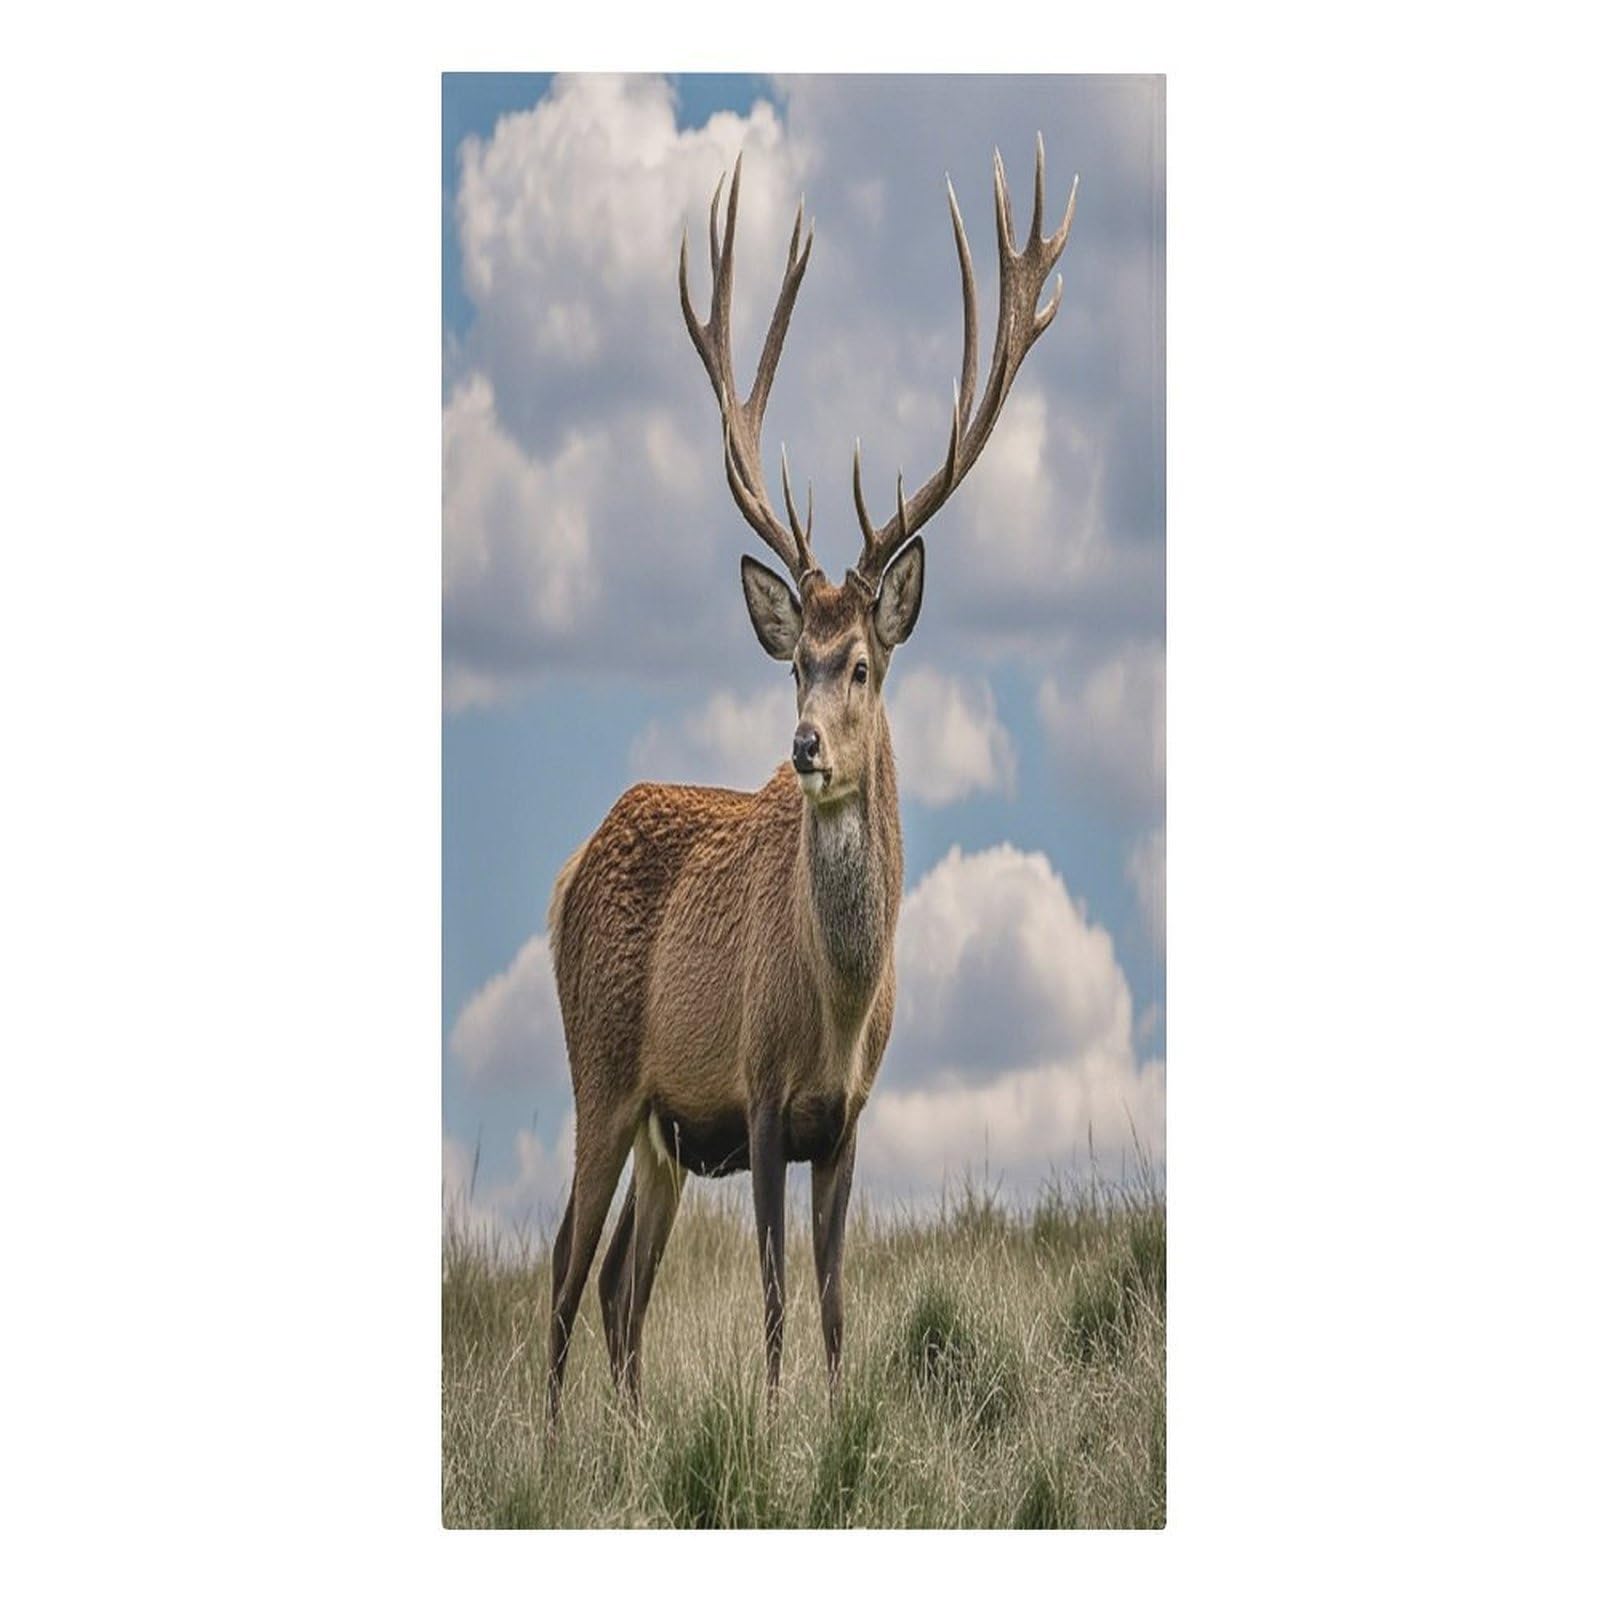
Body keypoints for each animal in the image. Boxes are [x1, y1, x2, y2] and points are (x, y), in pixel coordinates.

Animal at [543, 136, 1077, 1427]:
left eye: (864, 663)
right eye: (794, 659)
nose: (803, 749)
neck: (832, 1009)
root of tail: (570, 868)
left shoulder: (846, 1117)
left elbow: (834, 1304)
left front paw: (835, 1421)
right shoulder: (757, 1085)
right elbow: (779, 1298)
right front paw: (784, 1422)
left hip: (661, 1129)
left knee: (623, 1287)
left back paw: (627, 1438)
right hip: (601, 1072)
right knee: (565, 1274)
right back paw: (550, 1442)